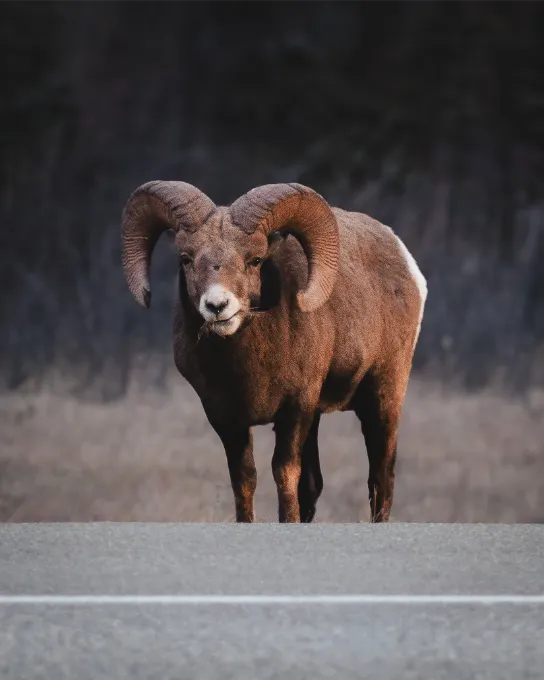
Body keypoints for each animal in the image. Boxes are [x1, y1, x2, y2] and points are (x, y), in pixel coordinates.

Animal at [121, 181, 427, 523]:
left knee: (381, 479)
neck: (246, 369)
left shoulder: (295, 409)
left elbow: (285, 474)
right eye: (186, 258)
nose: (217, 305)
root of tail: (406, 263)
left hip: (383, 397)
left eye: (255, 260)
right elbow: (245, 480)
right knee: (314, 485)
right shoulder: (226, 418)